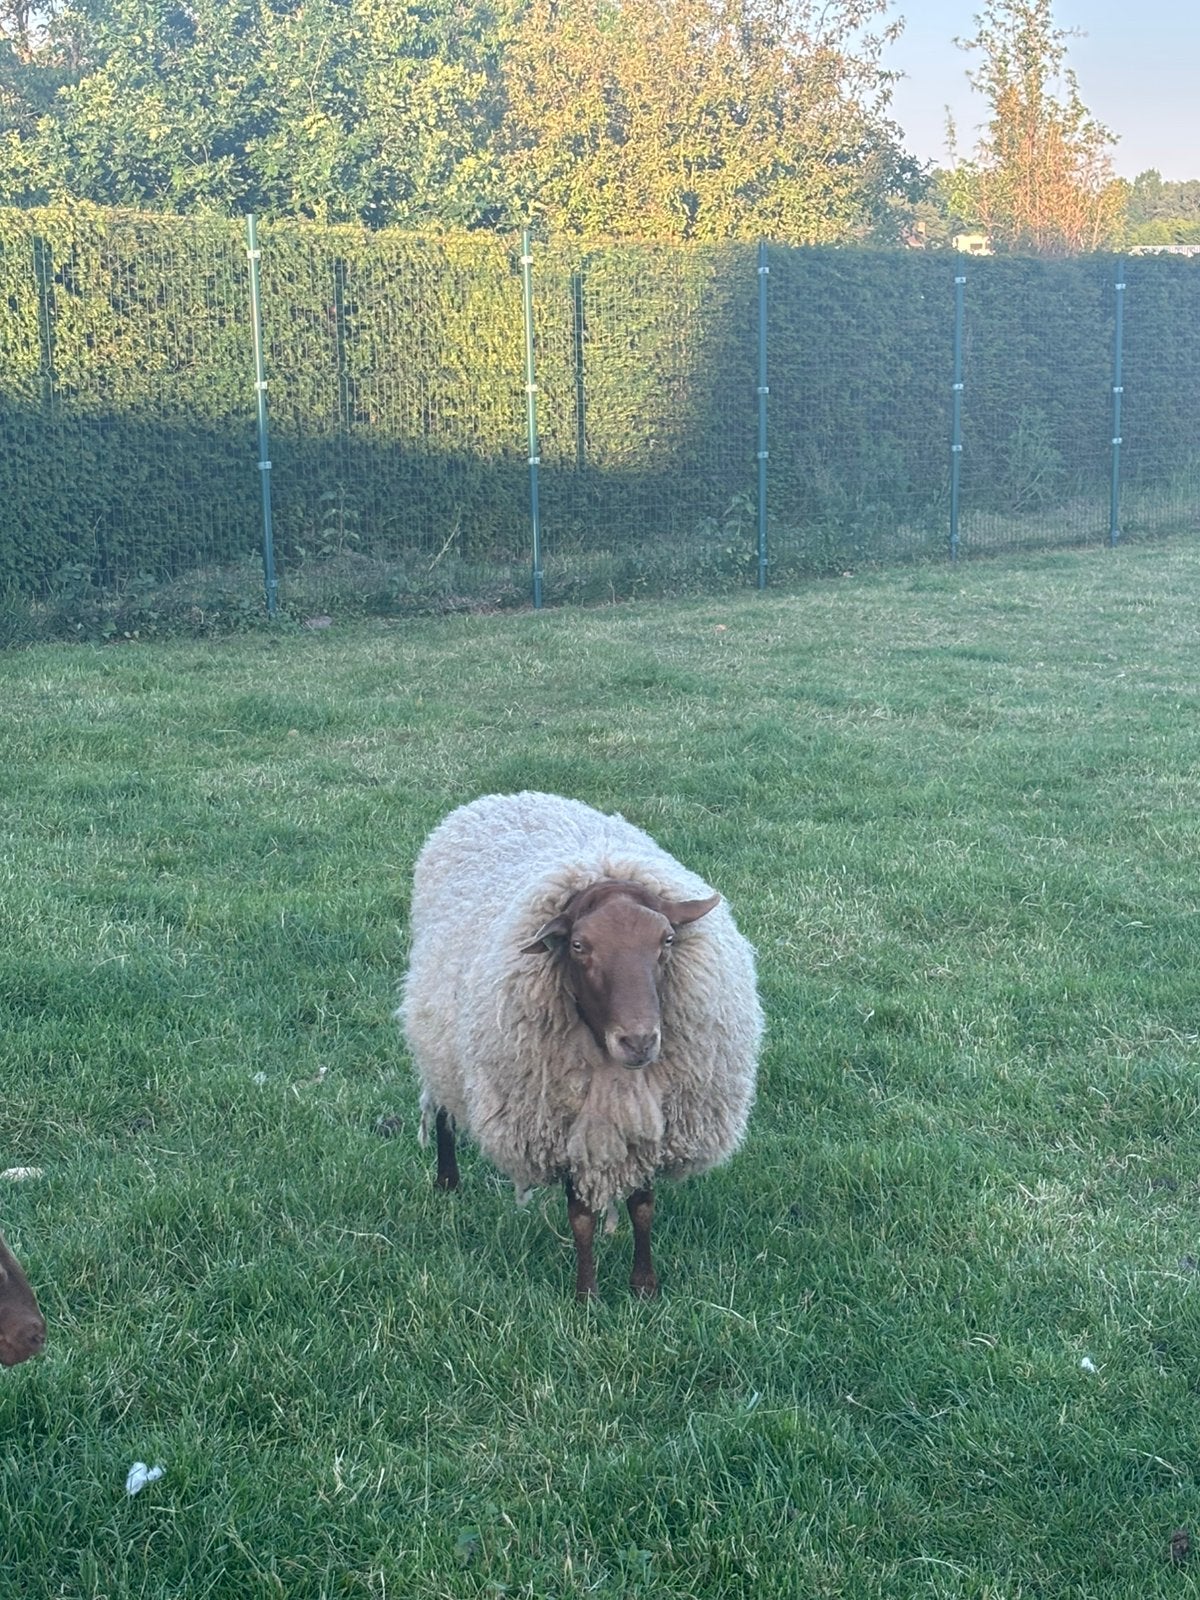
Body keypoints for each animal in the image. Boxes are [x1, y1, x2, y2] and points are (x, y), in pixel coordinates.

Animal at [399, 791, 763, 1300]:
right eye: (577, 945)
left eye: (667, 939)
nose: (639, 1040)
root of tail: (503, 796)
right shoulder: (564, 1125)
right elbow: (582, 1217)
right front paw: (586, 1295)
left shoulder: (650, 1120)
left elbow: (643, 1206)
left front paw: (644, 1286)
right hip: (438, 1037)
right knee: (443, 1108)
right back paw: (448, 1180)